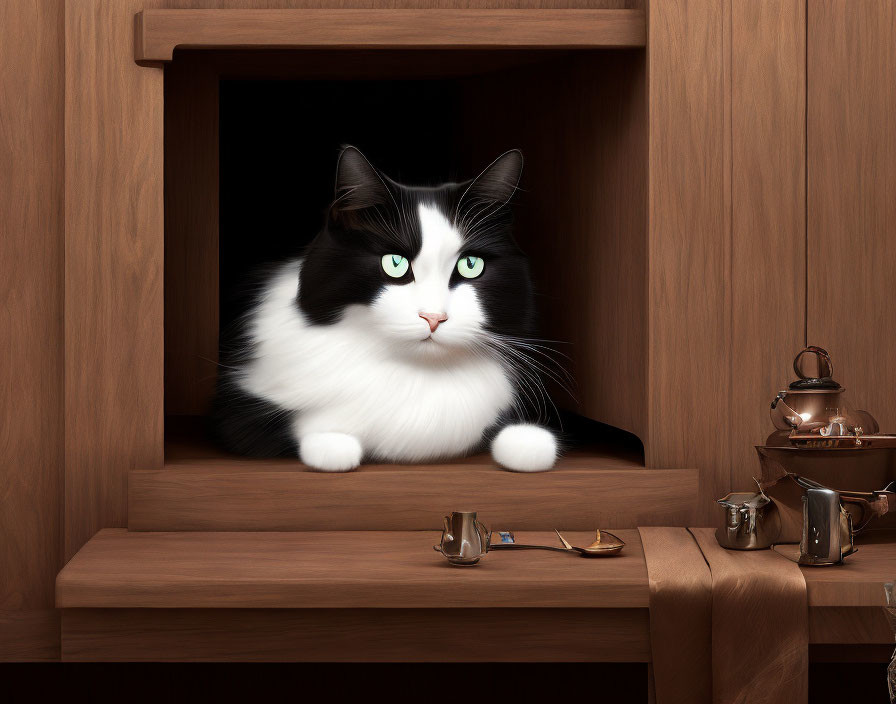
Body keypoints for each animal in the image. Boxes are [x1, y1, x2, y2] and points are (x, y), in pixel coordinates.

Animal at [212, 145, 560, 470]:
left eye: (471, 265)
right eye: (395, 264)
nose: (433, 318)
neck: (417, 375)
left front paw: (529, 444)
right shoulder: (239, 408)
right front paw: (332, 444)